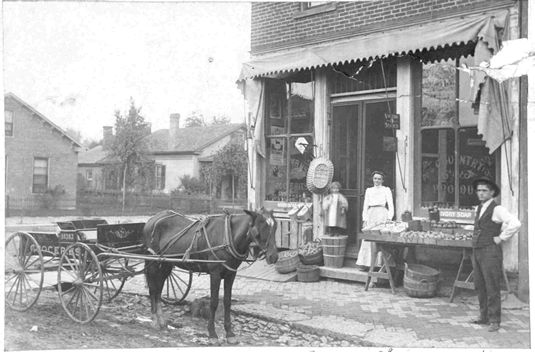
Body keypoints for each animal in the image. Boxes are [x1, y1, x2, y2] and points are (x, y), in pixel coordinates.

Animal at [142, 209, 278, 344]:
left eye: (275, 227)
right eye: (260, 228)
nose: (274, 257)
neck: (227, 236)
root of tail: (152, 219)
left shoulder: (231, 274)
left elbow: (227, 302)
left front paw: (229, 333)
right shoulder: (215, 273)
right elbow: (214, 302)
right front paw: (212, 334)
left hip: (166, 264)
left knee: (159, 288)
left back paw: (161, 320)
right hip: (154, 262)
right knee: (153, 288)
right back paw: (154, 319)